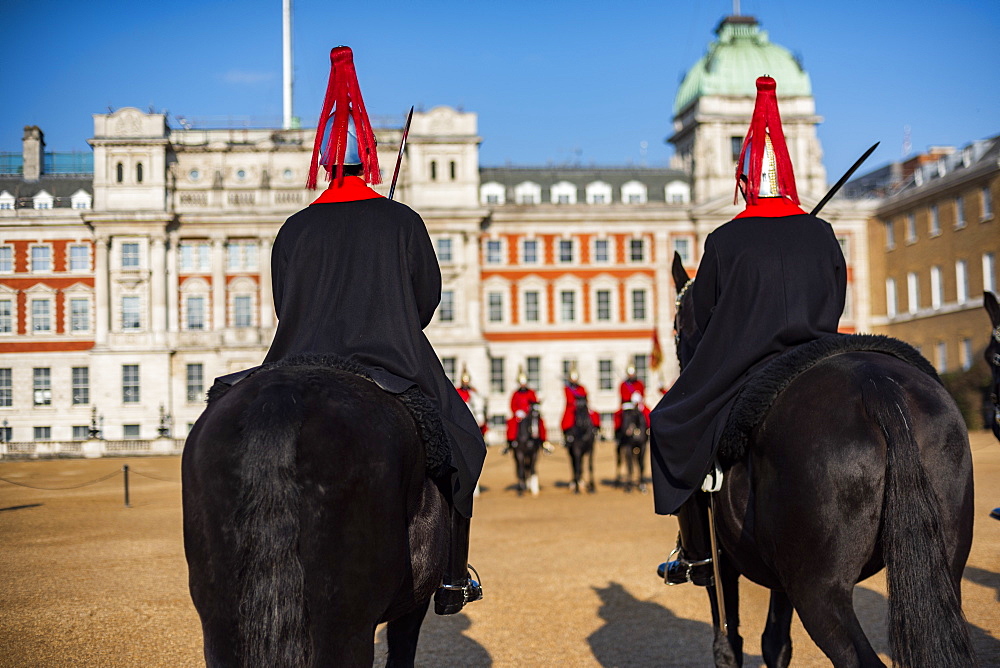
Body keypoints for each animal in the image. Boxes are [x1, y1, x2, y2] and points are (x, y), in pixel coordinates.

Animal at [668, 254, 972, 668]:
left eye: (677, 327)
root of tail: (878, 386)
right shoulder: (779, 574)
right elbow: (775, 642)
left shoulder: (721, 568)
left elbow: (728, 644)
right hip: (945, 570)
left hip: (820, 593)